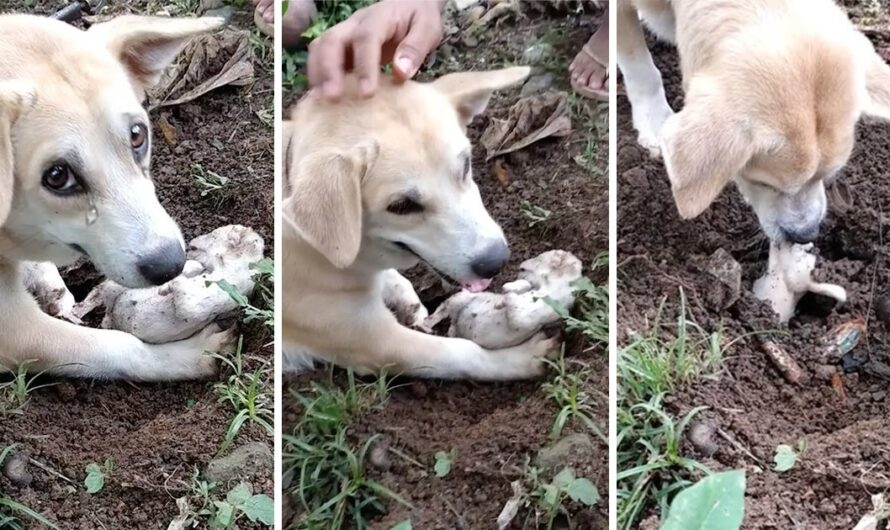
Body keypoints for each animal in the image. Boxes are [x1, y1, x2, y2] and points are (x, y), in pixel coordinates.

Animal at [0, 15, 236, 380]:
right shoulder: (18, 331)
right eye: (57, 176)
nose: (171, 265)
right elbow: (121, 346)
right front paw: (186, 356)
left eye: (138, 135)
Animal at [284, 68, 560, 378]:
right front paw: (520, 359)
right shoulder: (376, 341)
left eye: (466, 165)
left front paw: (405, 297)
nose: (497, 261)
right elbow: (465, 353)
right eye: (402, 206)